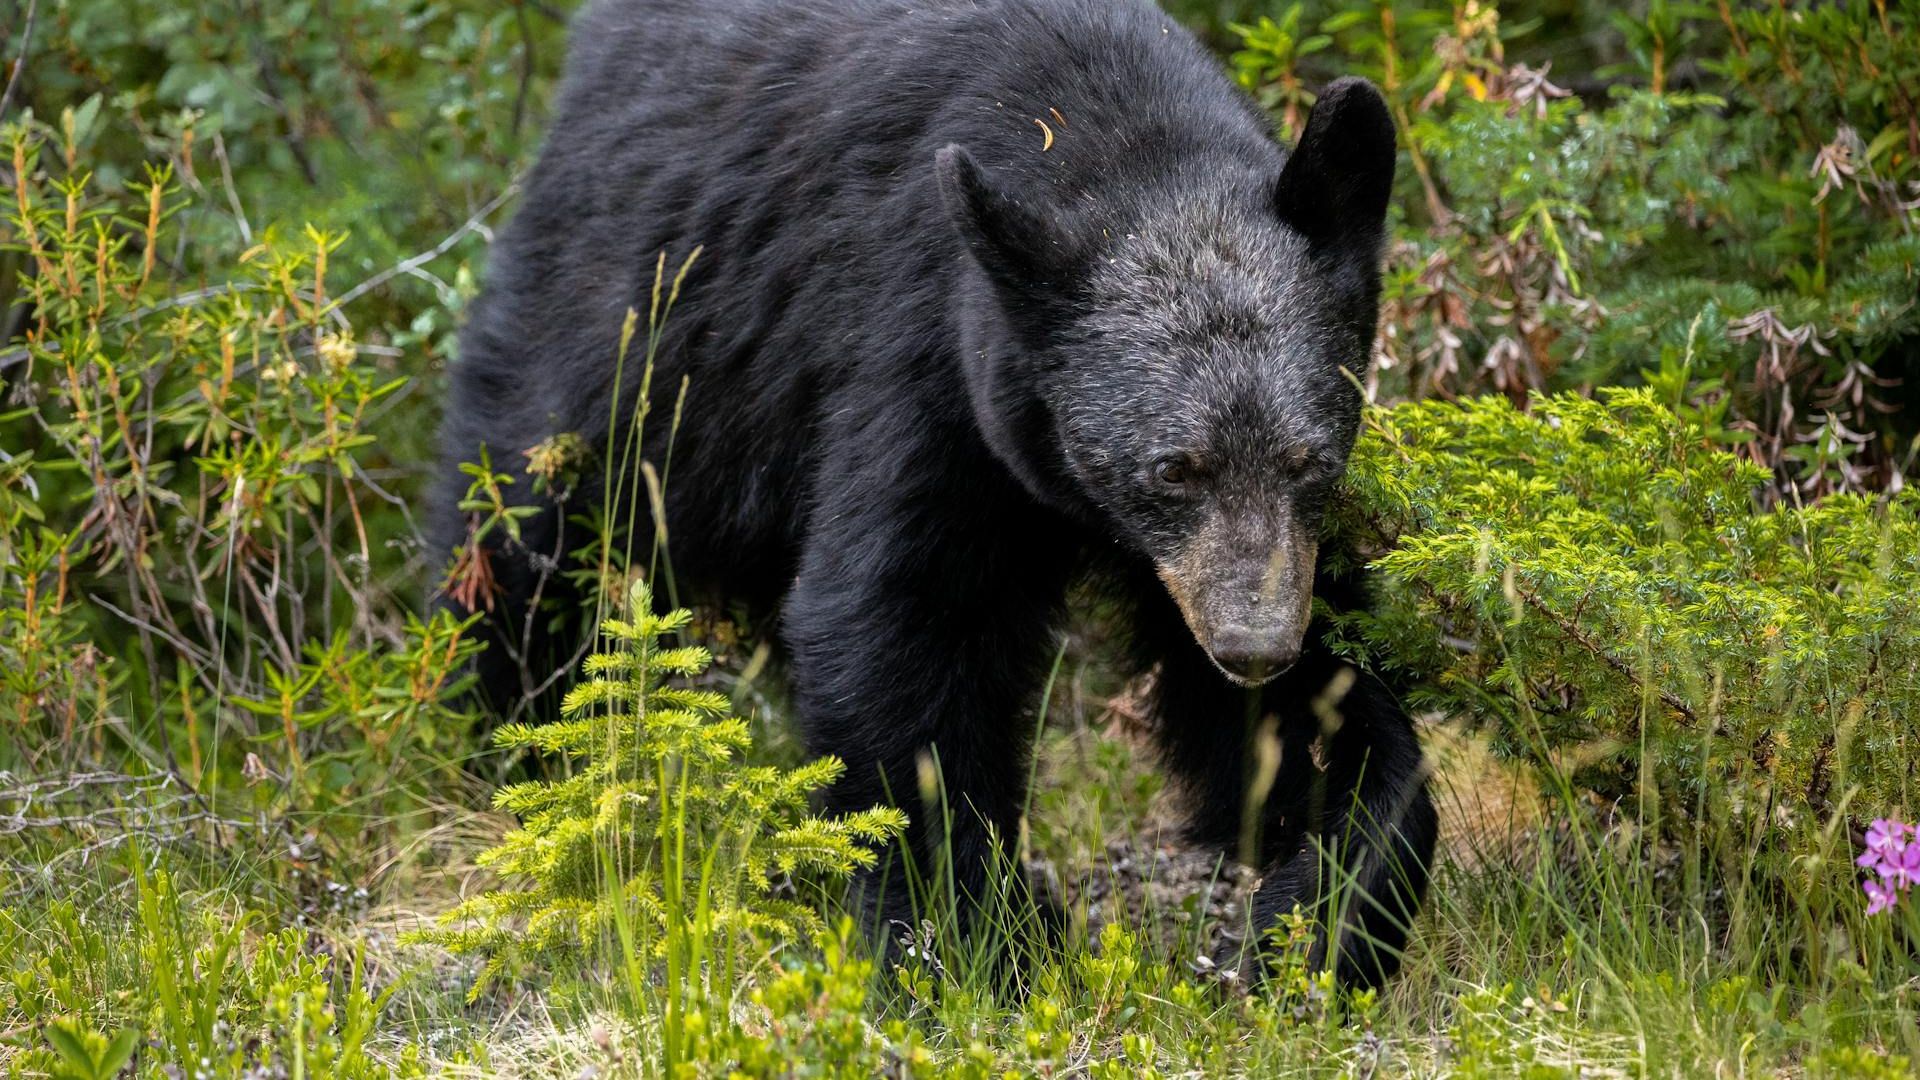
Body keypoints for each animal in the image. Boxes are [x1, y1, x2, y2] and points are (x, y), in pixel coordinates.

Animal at [434, 0, 1437, 988]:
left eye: (1311, 460)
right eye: (1171, 468)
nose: (1254, 646)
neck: (1115, 135)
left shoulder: (1243, 552)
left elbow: (1313, 697)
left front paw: (1321, 909)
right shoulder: (924, 356)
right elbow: (902, 619)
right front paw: (972, 942)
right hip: (634, 320)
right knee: (524, 525)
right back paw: (512, 741)